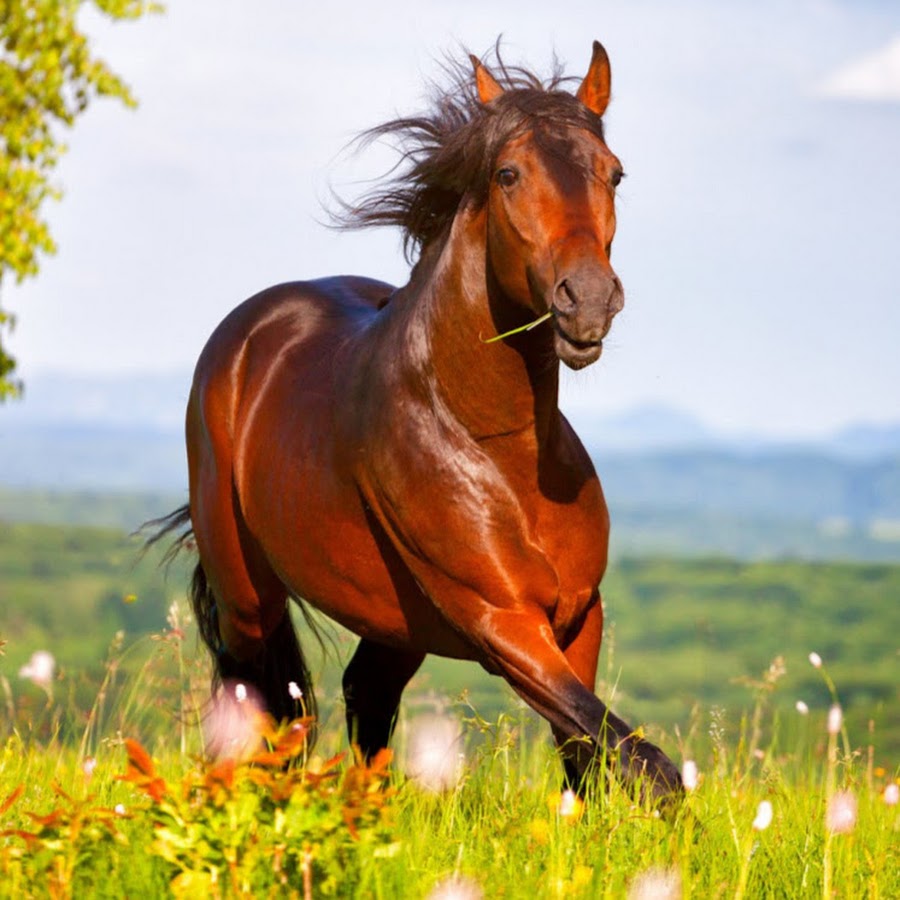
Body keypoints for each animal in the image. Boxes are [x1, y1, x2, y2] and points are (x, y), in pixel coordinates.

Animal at [155, 38, 684, 804]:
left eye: (614, 173)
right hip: (246, 593)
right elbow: (643, 760)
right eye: (508, 174)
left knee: (363, 695)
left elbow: (589, 751)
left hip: (394, 621)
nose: (587, 300)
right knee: (258, 700)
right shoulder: (502, 621)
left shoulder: (578, 617)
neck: (498, 446)